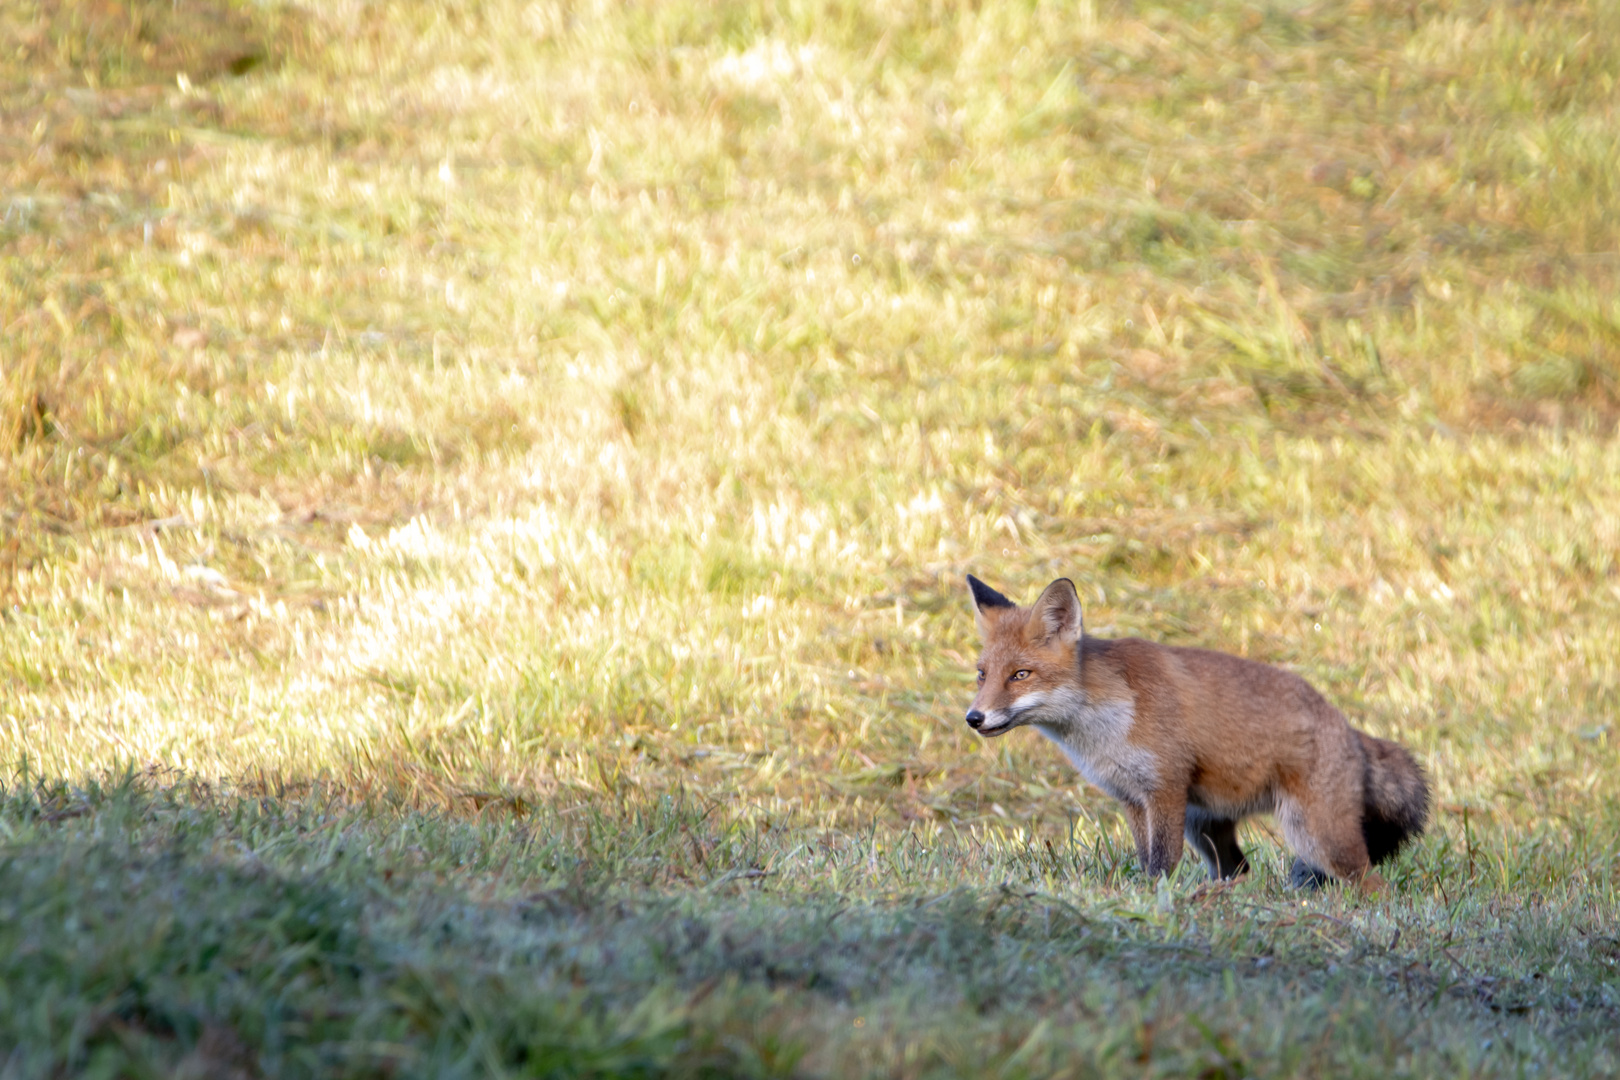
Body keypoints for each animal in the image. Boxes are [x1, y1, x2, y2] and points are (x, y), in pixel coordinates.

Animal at [965, 573, 1425, 893]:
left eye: (1020, 675)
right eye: (982, 674)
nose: (974, 717)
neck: (1103, 724)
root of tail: (1349, 728)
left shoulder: (1165, 789)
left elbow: (1162, 864)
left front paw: (1154, 901)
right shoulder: (1133, 798)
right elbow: (1147, 861)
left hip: (1316, 837)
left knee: (1374, 885)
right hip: (1205, 826)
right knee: (1239, 868)